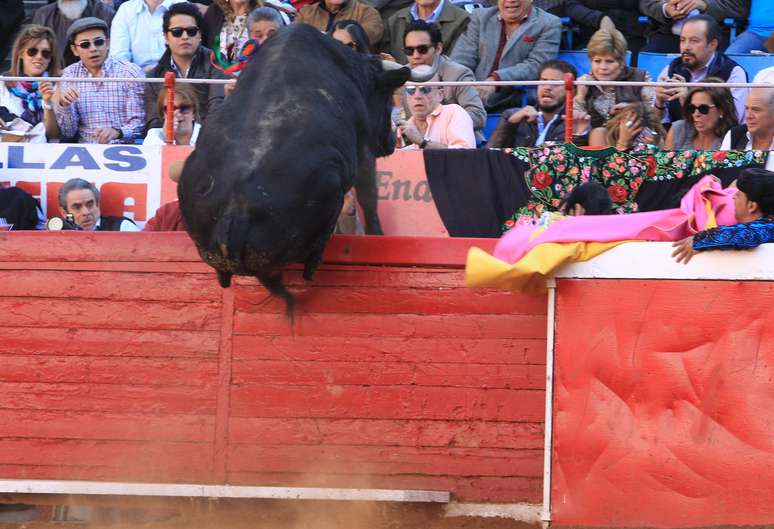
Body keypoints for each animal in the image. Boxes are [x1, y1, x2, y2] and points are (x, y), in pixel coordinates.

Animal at [178, 25, 434, 314]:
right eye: (386, 96)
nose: (391, 141)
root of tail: (235, 211)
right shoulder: (364, 151)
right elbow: (368, 196)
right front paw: (376, 234)